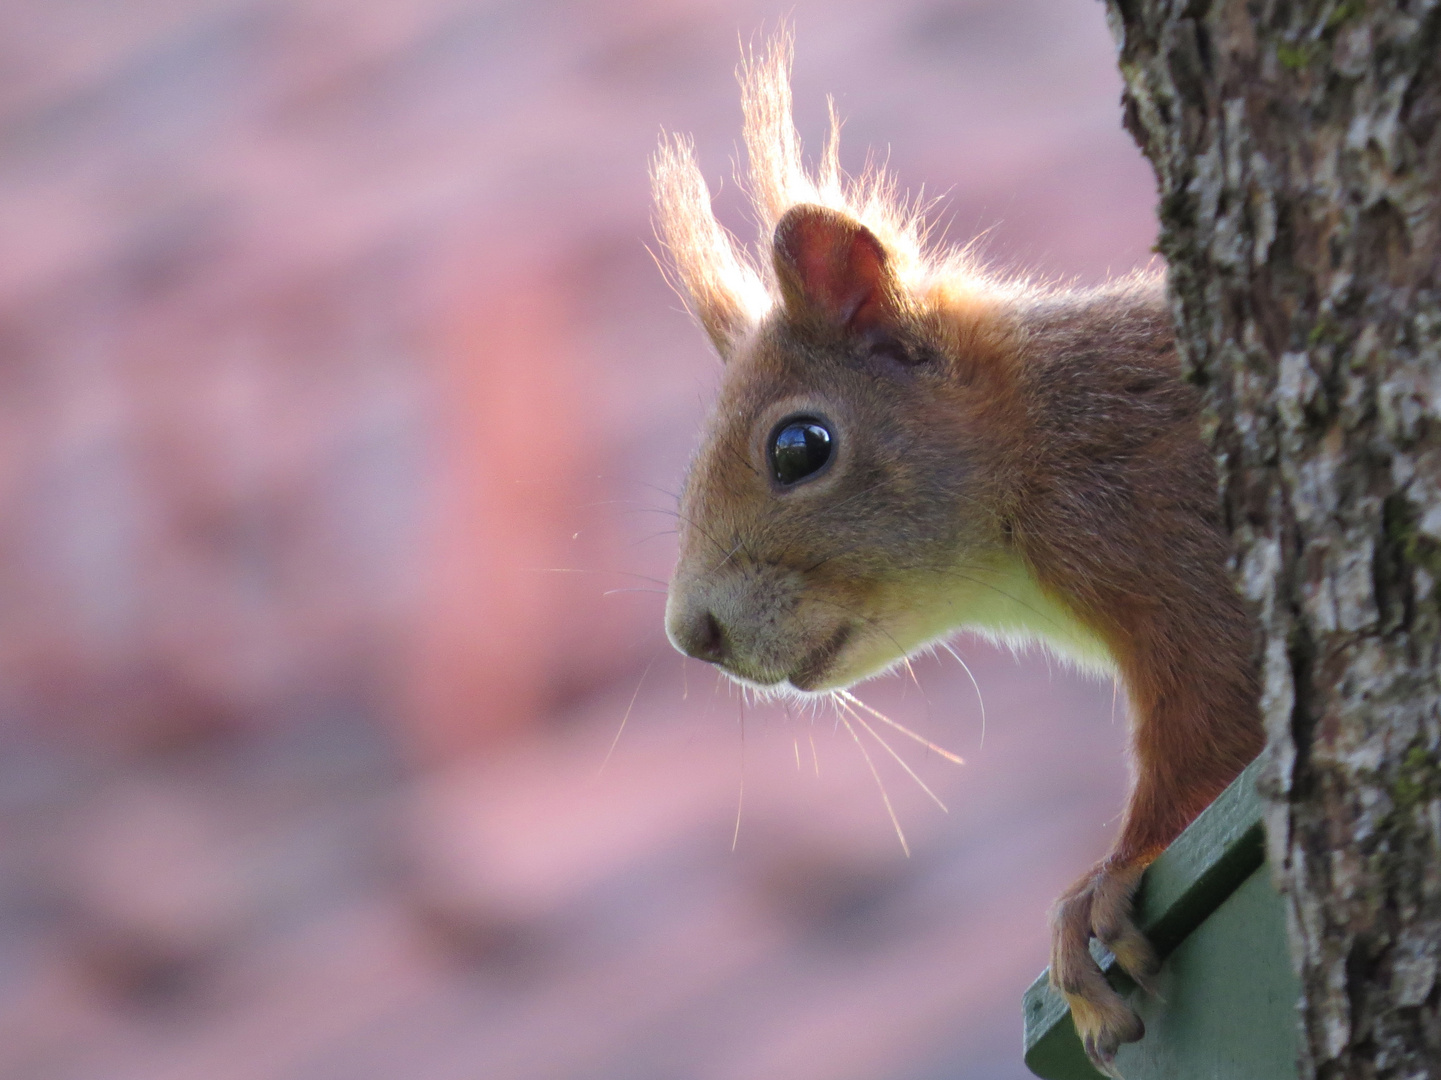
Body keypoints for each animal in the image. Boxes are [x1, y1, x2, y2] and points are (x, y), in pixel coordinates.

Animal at [654, 33, 1262, 1072]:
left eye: (799, 447)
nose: (691, 632)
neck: (1034, 445)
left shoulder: (1158, 535)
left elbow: (1211, 727)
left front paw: (1100, 886)